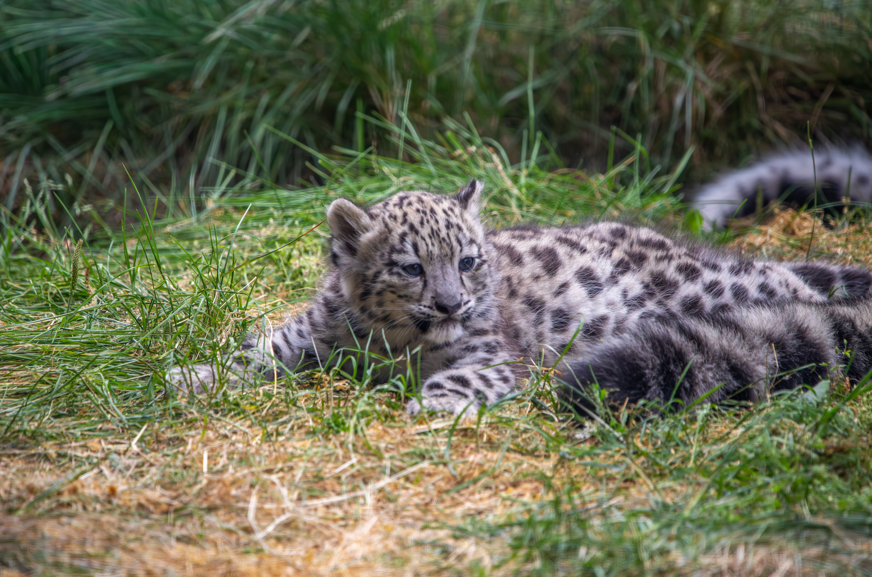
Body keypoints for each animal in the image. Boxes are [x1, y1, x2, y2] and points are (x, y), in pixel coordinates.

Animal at [168, 179, 872, 417]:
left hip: (717, 287)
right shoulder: (308, 335)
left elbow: (458, 379)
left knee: (791, 290)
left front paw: (426, 407)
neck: (392, 343)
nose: (451, 305)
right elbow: (258, 350)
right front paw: (188, 376)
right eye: (411, 267)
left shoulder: (491, 357)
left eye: (468, 261)